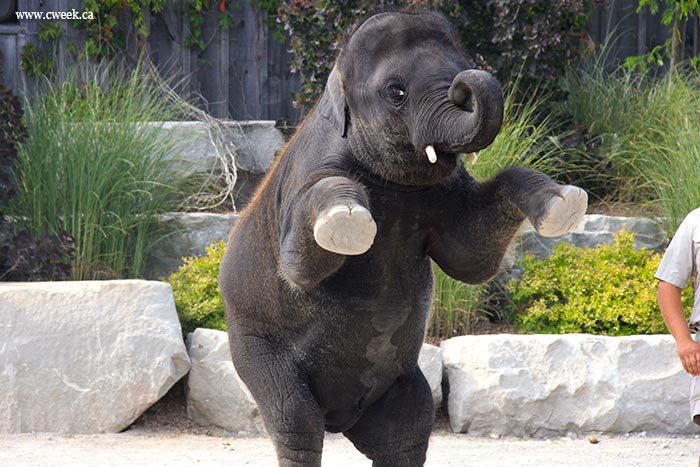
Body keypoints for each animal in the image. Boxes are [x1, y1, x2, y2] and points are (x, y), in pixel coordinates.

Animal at [219, 9, 584, 466]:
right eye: (396, 91)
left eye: (461, 62)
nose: (465, 83)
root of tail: (341, 418)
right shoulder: (306, 177)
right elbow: (301, 267)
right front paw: (349, 217)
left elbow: (472, 260)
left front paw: (564, 203)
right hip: (256, 348)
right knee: (296, 424)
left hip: (400, 386)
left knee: (407, 434)